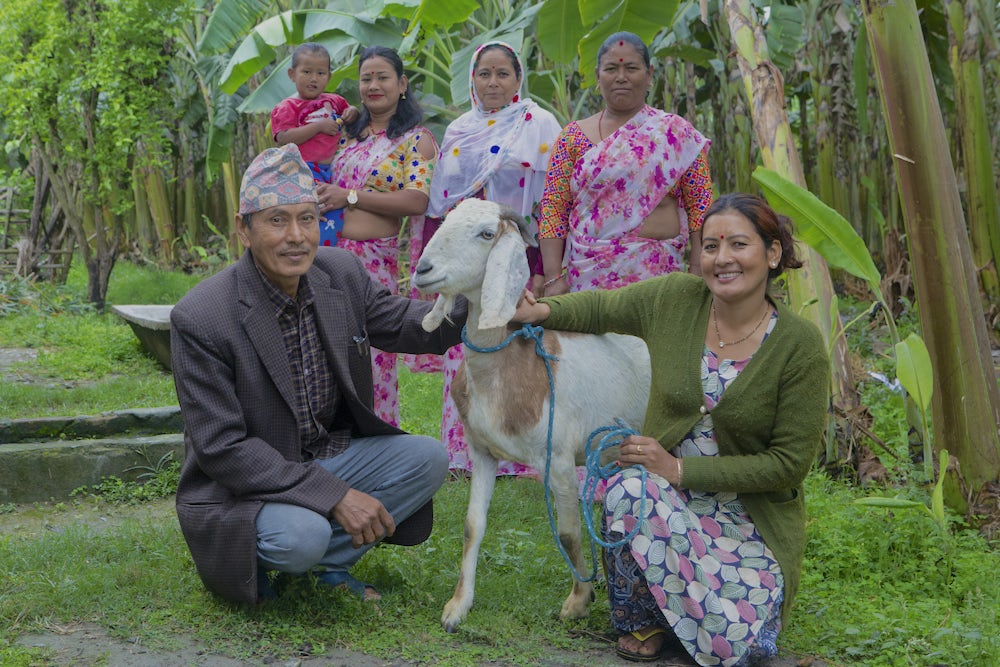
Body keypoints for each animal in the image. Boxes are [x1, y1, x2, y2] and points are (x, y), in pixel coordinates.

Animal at [410, 197, 652, 632]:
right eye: (447, 219)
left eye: (487, 233)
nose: (423, 270)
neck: (508, 370)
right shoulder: (482, 452)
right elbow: (472, 526)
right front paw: (458, 607)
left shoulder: (558, 460)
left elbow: (569, 533)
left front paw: (578, 601)